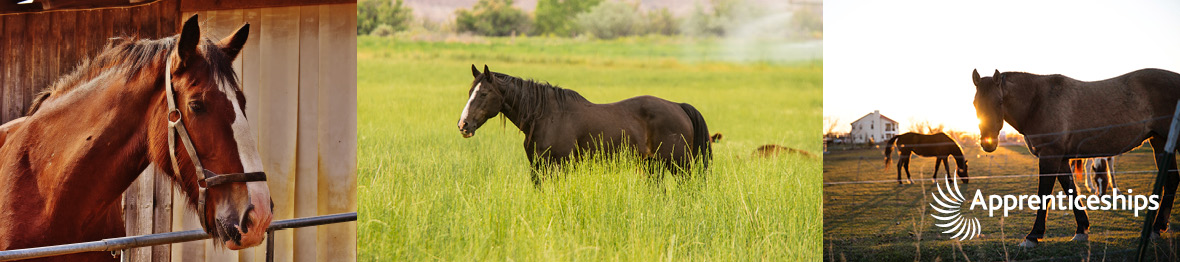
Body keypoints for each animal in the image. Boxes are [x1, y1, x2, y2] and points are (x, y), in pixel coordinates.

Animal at [453, 64, 707, 185]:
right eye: (470, 92)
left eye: (483, 94)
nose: (463, 125)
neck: (545, 116)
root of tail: (678, 106)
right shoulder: (537, 167)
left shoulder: (559, 166)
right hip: (653, 166)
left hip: (680, 165)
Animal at [972, 68, 1180, 247]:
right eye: (975, 104)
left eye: (999, 102)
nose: (988, 143)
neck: (1038, 101)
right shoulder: (1062, 159)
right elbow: (1071, 189)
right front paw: (1081, 230)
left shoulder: (1050, 156)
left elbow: (1044, 194)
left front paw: (1032, 236)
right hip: (1160, 142)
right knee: (1171, 180)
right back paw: (1157, 228)